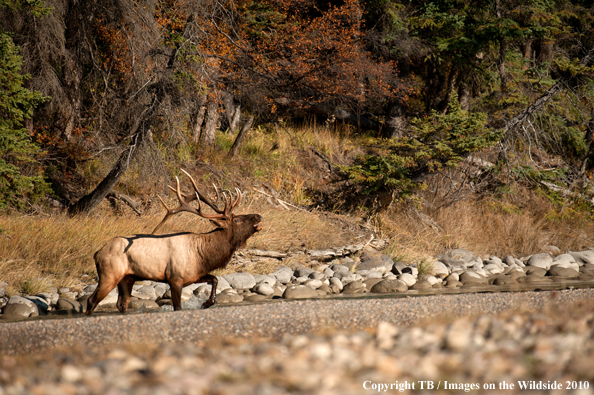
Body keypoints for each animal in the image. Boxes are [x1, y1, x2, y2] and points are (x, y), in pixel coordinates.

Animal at [85, 170, 262, 316]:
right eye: (237, 220)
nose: (259, 216)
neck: (204, 254)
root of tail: (97, 253)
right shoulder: (175, 278)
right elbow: (178, 307)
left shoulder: (193, 275)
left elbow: (215, 279)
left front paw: (206, 303)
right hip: (109, 274)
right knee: (91, 300)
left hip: (127, 278)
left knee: (122, 304)